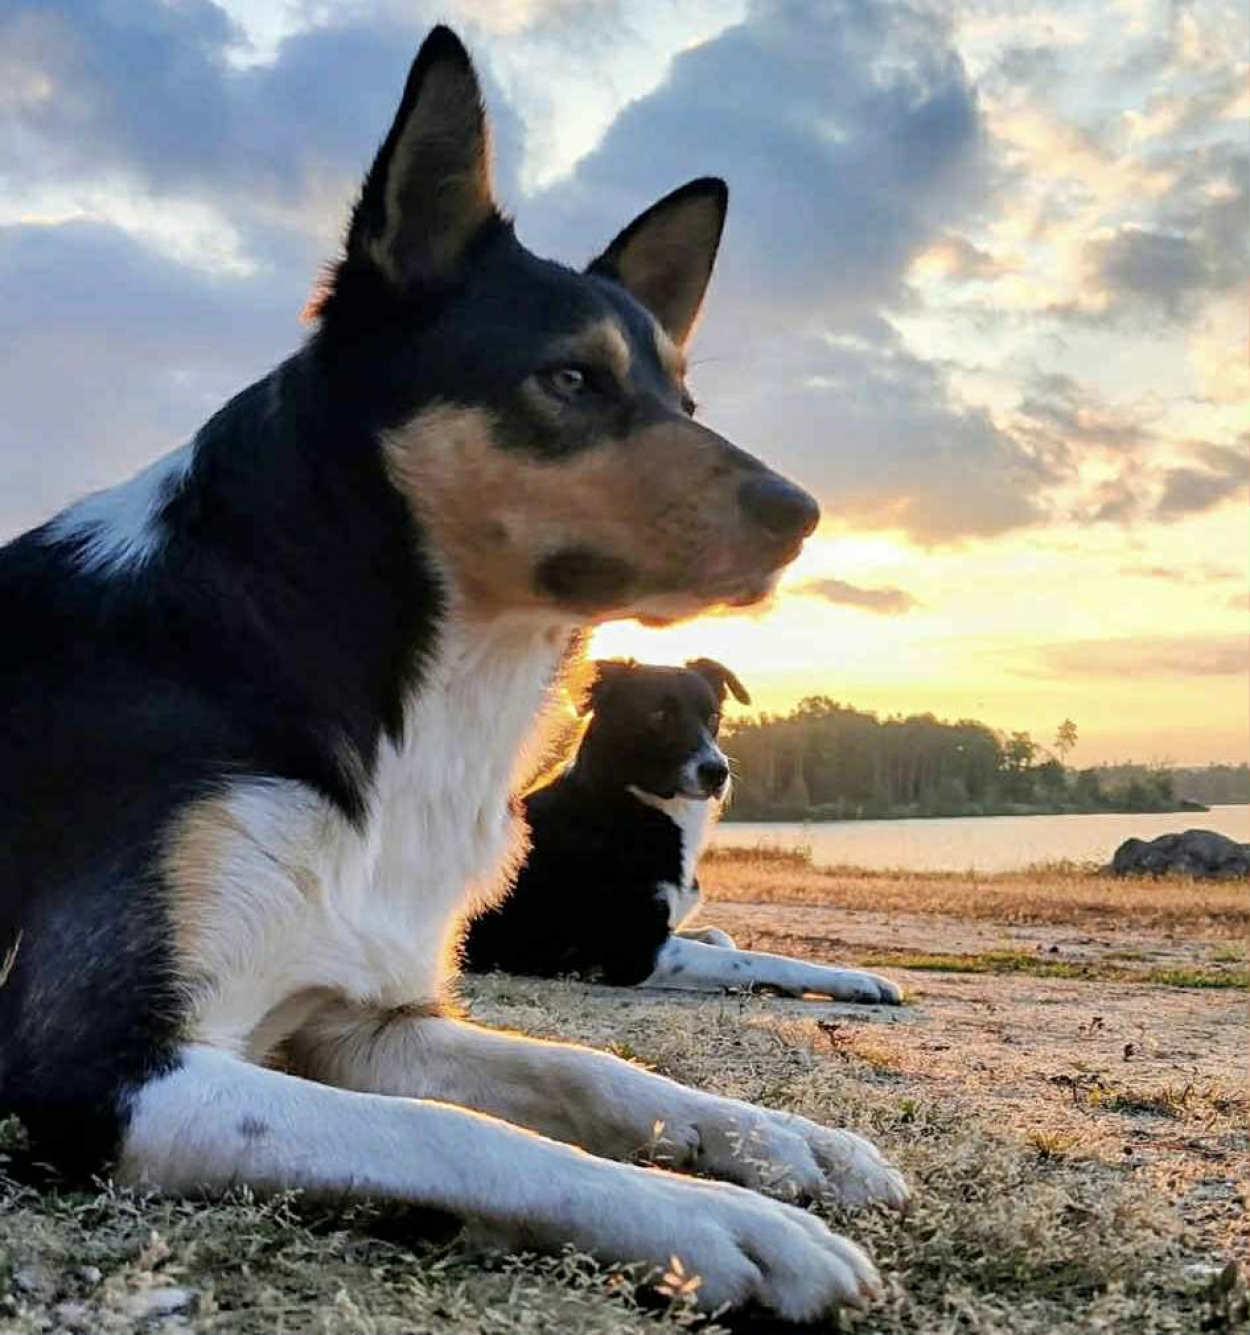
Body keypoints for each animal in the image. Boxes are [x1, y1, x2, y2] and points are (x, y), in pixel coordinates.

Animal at [465, 657, 903, 1003]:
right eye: (657, 718)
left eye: (713, 718)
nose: (717, 772)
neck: (627, 804)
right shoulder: (635, 950)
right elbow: (759, 958)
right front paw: (853, 980)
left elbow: (722, 936)